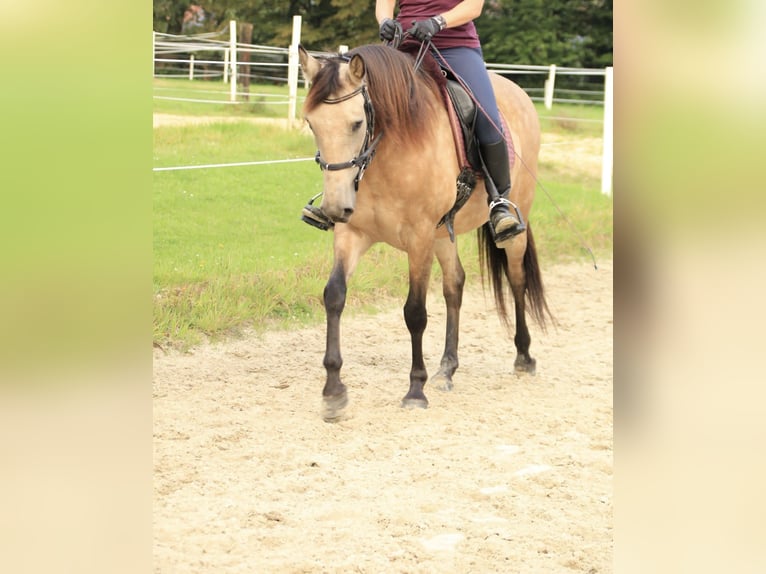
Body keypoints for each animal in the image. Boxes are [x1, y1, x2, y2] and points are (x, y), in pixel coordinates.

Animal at [300, 42, 552, 420]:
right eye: (311, 124)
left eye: (357, 123)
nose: (333, 207)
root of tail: (518, 92)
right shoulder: (352, 234)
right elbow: (334, 296)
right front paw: (333, 391)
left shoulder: (418, 239)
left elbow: (415, 313)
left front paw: (415, 390)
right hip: (443, 233)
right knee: (455, 285)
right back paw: (447, 368)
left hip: (510, 229)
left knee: (516, 280)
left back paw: (523, 356)